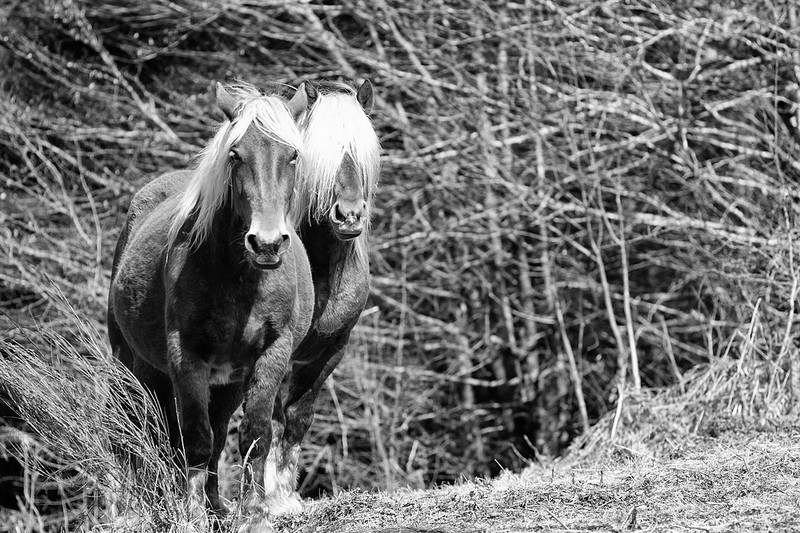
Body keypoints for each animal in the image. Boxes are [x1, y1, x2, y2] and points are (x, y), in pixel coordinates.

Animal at [107, 82, 313, 530]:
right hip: (130, 361)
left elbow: (253, 434)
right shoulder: (186, 354)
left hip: (226, 380)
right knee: (130, 426)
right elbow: (196, 440)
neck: (240, 280)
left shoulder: (271, 353)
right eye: (235, 155)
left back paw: (219, 507)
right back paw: (132, 509)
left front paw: (252, 515)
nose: (267, 244)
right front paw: (191, 516)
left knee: (217, 434)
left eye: (292, 155)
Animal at [263, 79, 380, 514]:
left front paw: (287, 495)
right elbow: (272, 420)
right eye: (319, 158)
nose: (349, 215)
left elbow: (298, 417)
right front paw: (272, 500)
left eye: (362, 154)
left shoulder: (330, 352)